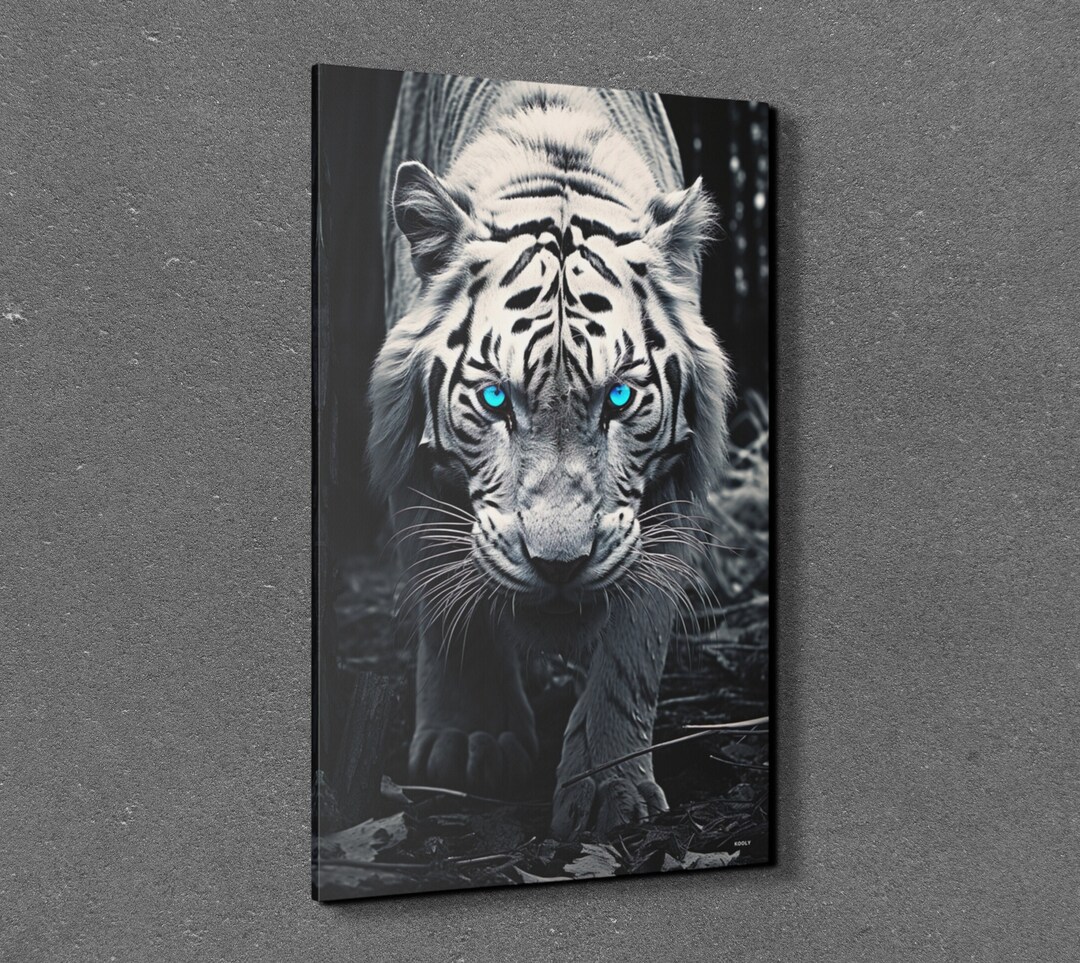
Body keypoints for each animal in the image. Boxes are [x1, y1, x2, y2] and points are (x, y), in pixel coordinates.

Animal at [368, 71, 733, 838]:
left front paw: (607, 788)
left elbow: (633, 644)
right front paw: (471, 741)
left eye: (619, 398)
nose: (559, 566)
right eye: (494, 399)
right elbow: (455, 614)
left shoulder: (667, 496)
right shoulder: (414, 474)